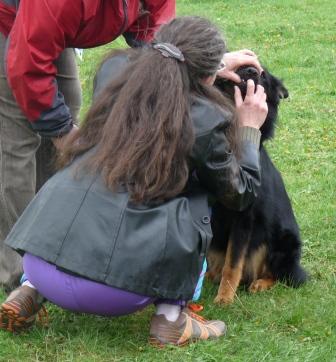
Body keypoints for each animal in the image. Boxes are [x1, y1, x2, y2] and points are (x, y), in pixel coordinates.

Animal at [209, 66, 308, 304]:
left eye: (263, 75)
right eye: (240, 68)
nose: (251, 70)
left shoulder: (244, 218)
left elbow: (233, 263)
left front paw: (224, 298)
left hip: (284, 241)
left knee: (283, 275)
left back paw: (260, 283)